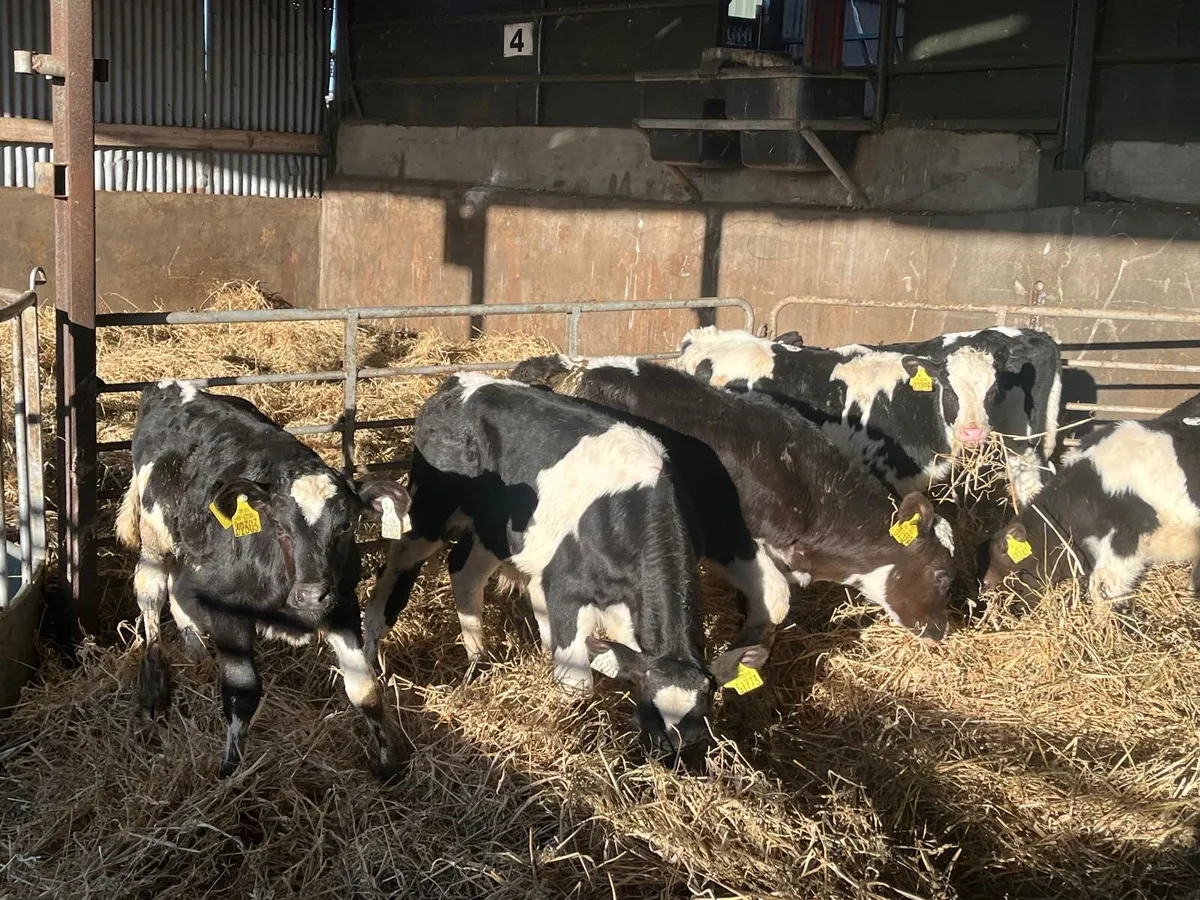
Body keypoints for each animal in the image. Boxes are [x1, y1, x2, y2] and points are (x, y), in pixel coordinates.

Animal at [115, 380, 413, 779]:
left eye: (347, 524)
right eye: (279, 525)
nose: (310, 596)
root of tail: (171, 386)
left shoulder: (342, 604)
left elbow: (364, 688)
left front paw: (388, 764)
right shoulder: (226, 611)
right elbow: (243, 692)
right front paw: (229, 769)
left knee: (179, 591)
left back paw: (197, 654)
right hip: (154, 536)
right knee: (151, 596)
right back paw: (153, 691)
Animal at [363, 372, 766, 766]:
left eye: (699, 733)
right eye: (649, 721)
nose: (668, 766)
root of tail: (456, 383)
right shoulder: (565, 589)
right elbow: (577, 682)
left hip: (496, 530)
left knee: (465, 571)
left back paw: (479, 659)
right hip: (428, 509)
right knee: (392, 574)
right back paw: (371, 655)